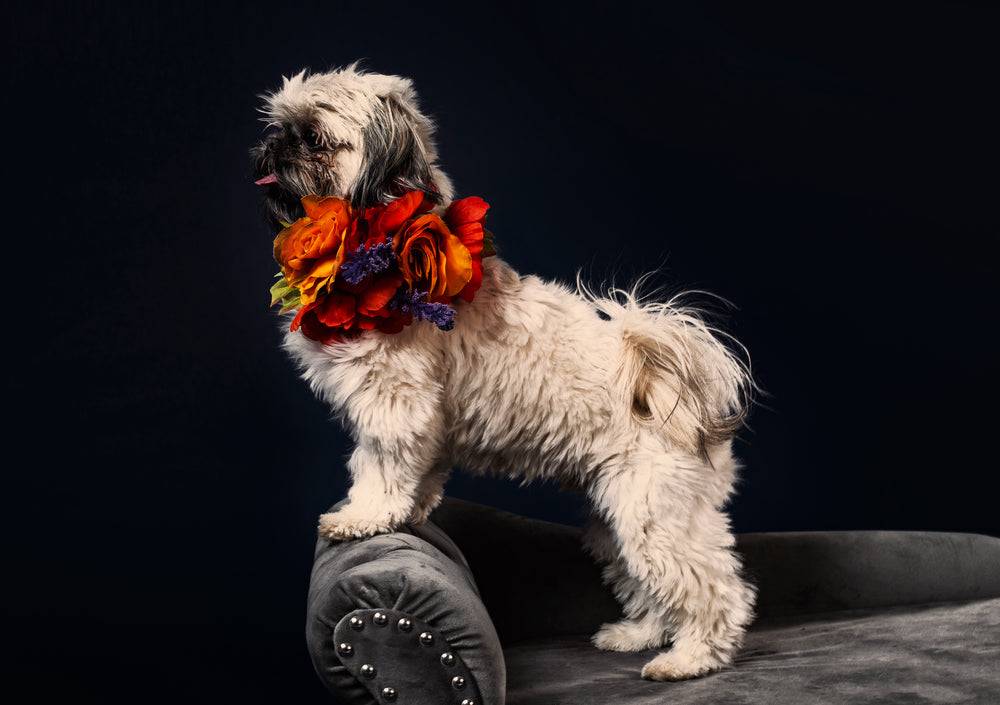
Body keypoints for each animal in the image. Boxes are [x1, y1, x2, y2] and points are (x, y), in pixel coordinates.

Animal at [252, 63, 756, 680]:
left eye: (314, 139)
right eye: (279, 127)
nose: (272, 148)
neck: (387, 247)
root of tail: (662, 386)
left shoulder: (394, 401)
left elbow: (378, 468)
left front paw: (364, 516)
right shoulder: (426, 419)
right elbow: (421, 471)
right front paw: (412, 510)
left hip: (652, 512)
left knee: (715, 590)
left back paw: (689, 658)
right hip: (616, 515)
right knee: (650, 585)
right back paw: (639, 634)